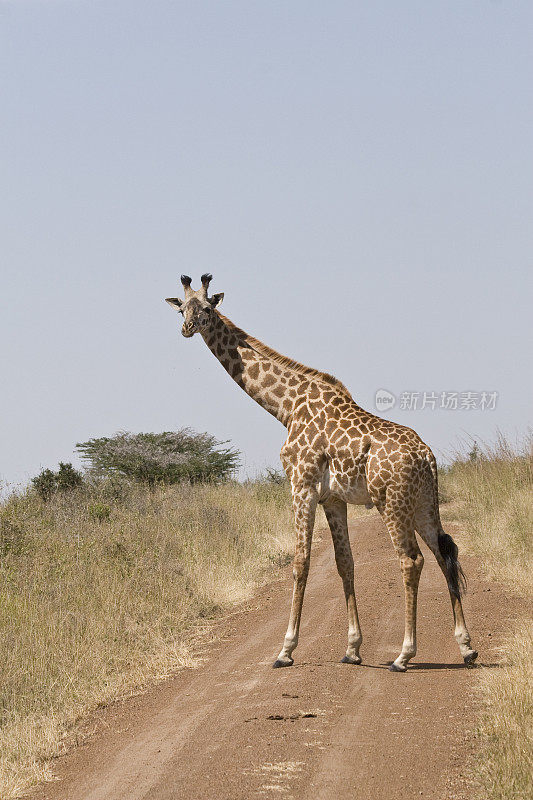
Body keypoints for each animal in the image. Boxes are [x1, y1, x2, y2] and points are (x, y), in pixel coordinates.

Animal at [164, 272, 476, 672]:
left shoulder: (302, 484)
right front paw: (352, 649)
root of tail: (427, 457)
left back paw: (404, 654)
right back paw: (466, 648)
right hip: (424, 504)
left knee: (411, 560)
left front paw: (285, 650)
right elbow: (345, 564)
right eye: (182, 310)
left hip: (392, 503)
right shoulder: (332, 498)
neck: (285, 406)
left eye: (206, 308)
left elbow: (301, 562)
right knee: (444, 552)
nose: (187, 328)